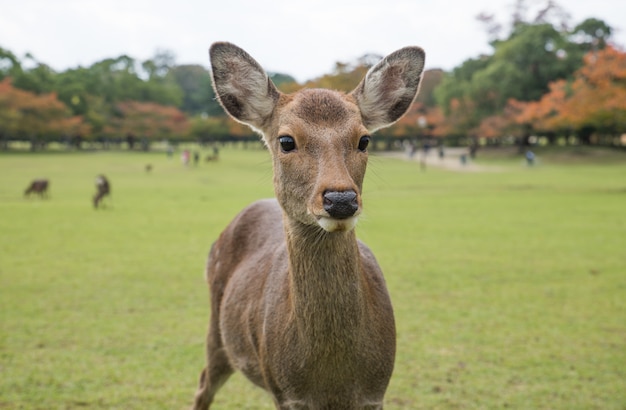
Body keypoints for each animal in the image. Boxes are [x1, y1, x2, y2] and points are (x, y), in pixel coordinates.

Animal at [191, 42, 424, 410]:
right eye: (286, 141)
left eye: (364, 140)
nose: (341, 199)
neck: (332, 380)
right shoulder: (286, 392)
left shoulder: (376, 391)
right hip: (219, 330)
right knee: (203, 384)